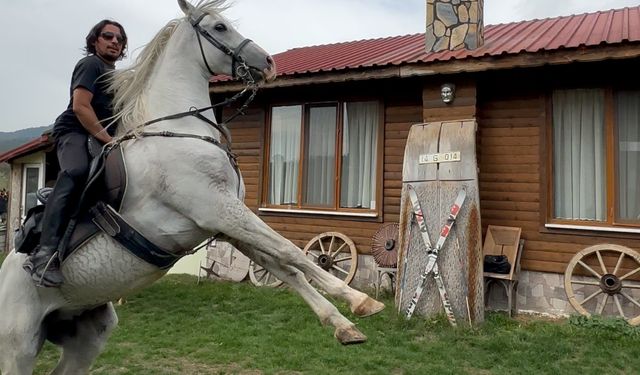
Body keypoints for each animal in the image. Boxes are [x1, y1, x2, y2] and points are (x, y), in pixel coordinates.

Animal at [0, 1, 380, 374]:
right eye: (219, 28)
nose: (268, 63)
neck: (181, 131)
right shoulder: (217, 208)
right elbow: (290, 251)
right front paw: (361, 300)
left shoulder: (225, 223)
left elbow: (284, 266)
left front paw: (344, 323)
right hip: (19, 348)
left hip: (87, 337)